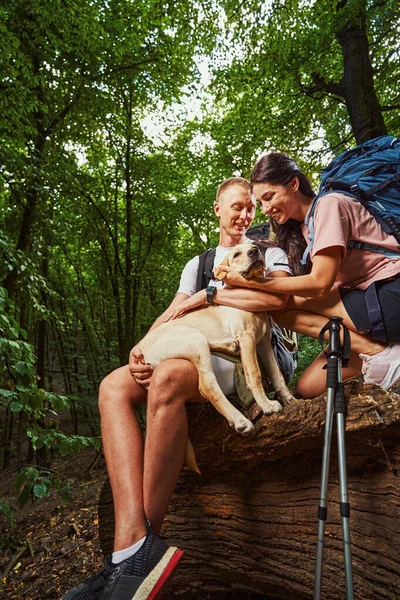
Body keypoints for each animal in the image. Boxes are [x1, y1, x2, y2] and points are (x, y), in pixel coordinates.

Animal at [137, 244, 294, 440]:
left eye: (255, 246)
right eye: (236, 254)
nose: (254, 252)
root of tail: (141, 349)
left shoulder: (263, 343)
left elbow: (276, 373)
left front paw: (289, 398)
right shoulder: (247, 338)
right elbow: (255, 374)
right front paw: (267, 405)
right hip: (195, 340)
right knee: (207, 386)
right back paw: (240, 421)